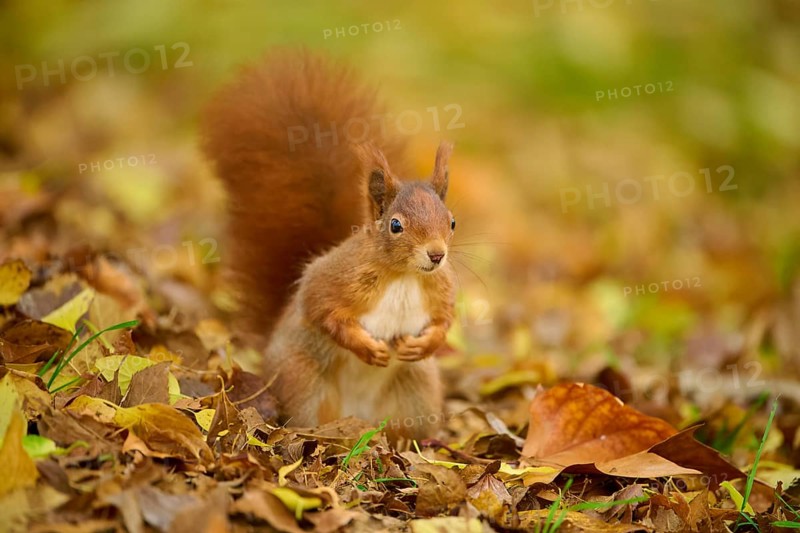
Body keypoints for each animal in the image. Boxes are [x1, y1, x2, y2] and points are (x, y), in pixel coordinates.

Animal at [201, 51, 456, 440]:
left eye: (452, 222)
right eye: (396, 225)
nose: (437, 254)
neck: (404, 276)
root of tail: (361, 420)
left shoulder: (440, 290)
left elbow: (444, 320)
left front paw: (423, 343)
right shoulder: (334, 278)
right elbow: (320, 306)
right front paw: (366, 347)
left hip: (418, 390)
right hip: (304, 380)